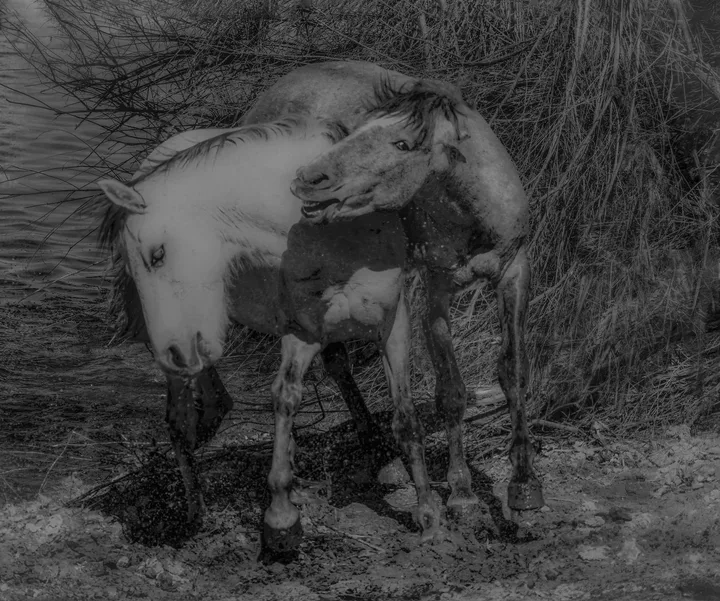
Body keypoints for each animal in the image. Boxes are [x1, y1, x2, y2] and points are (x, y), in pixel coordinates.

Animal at [97, 116, 445, 553]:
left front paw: (428, 512)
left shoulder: (393, 323)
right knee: (183, 419)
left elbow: (406, 417)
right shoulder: (301, 331)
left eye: (157, 254)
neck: (334, 233)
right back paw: (197, 507)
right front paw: (280, 516)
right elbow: (285, 397)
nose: (174, 354)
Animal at [244, 61, 544, 515]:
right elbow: (450, 389)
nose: (310, 179)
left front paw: (524, 483)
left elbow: (514, 370)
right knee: (337, 362)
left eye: (402, 144)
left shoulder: (515, 271)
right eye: (355, 132)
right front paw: (461, 490)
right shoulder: (435, 289)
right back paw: (378, 453)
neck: (471, 212)